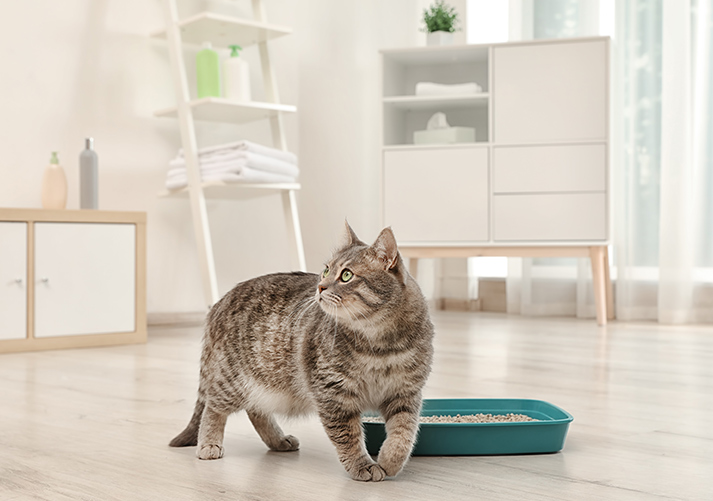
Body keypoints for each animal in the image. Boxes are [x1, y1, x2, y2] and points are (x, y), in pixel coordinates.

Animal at [169, 224, 432, 480]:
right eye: (326, 270)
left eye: (346, 275)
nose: (320, 286)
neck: (380, 344)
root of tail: (220, 302)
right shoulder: (333, 395)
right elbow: (348, 436)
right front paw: (362, 465)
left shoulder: (405, 393)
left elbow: (404, 432)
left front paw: (391, 461)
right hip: (232, 381)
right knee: (213, 407)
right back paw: (209, 443)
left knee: (256, 411)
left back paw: (278, 440)